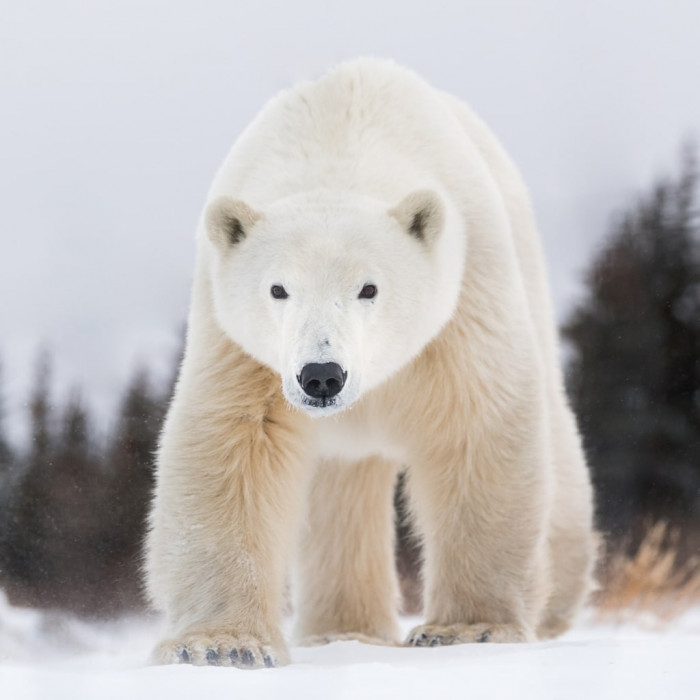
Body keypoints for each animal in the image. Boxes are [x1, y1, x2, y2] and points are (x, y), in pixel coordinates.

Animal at [146, 58, 596, 668]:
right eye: (278, 288)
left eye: (369, 288)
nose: (322, 376)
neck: (339, 137)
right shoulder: (240, 347)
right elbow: (233, 447)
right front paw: (220, 645)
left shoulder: (462, 304)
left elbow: (476, 428)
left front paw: (467, 629)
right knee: (342, 496)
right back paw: (344, 630)